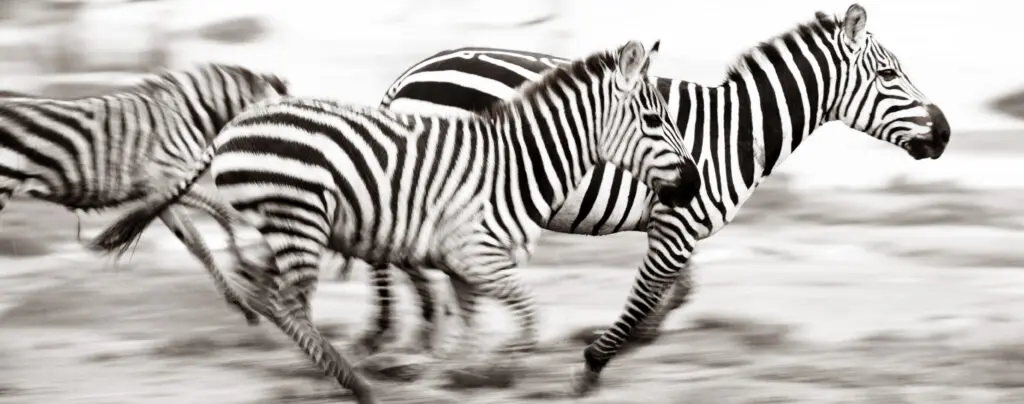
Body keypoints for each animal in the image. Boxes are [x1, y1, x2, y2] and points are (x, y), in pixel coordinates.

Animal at [0, 63, 288, 325]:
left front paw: (244, 283)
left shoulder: (162, 190)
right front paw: (249, 272)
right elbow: (214, 223)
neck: (185, 116)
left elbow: (201, 234)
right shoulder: (169, 180)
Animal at [87, 39, 701, 402]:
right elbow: (528, 318)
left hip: (281, 225)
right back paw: (357, 382)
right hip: (300, 219)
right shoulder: (479, 255)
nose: (694, 183)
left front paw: (463, 372)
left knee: (266, 290)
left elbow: (470, 323)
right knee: (289, 304)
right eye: (654, 119)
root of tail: (232, 127)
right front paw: (500, 370)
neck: (516, 162)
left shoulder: (464, 265)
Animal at [352, 3, 952, 395]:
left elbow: (676, 295)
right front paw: (590, 365)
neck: (736, 132)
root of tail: (410, 75)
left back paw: (402, 339)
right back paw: (406, 338)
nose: (945, 134)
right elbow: (646, 297)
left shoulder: (678, 222)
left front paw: (628, 345)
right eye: (889, 74)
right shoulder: (677, 224)